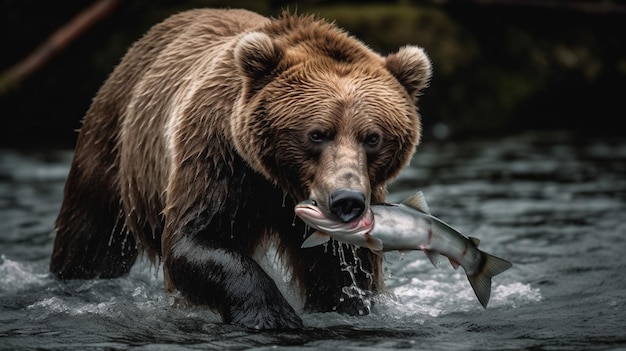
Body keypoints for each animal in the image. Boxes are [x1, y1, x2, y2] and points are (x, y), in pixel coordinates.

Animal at [50, 8, 428, 332]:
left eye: (373, 137)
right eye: (317, 133)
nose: (346, 199)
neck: (278, 182)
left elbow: (342, 270)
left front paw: (344, 305)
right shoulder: (219, 156)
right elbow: (197, 237)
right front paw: (273, 316)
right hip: (113, 146)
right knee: (91, 237)